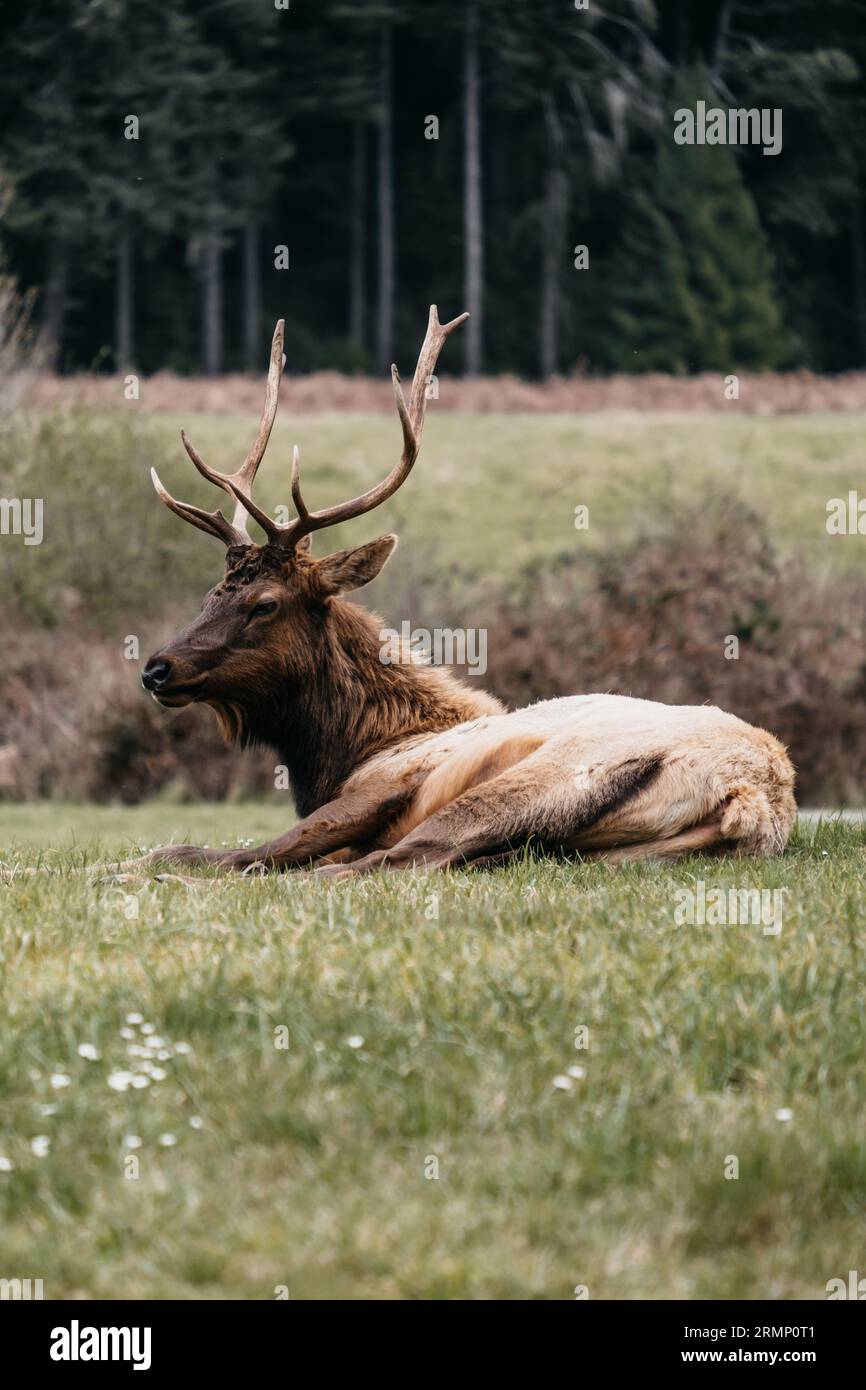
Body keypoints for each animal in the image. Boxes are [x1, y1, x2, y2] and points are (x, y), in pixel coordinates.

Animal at [123, 312, 800, 878]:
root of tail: (756, 793)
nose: (157, 668)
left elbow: (227, 850)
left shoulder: (382, 784)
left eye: (265, 604)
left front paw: (133, 867)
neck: (354, 749)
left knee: (393, 861)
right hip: (579, 850)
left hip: (544, 781)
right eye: (212, 593)